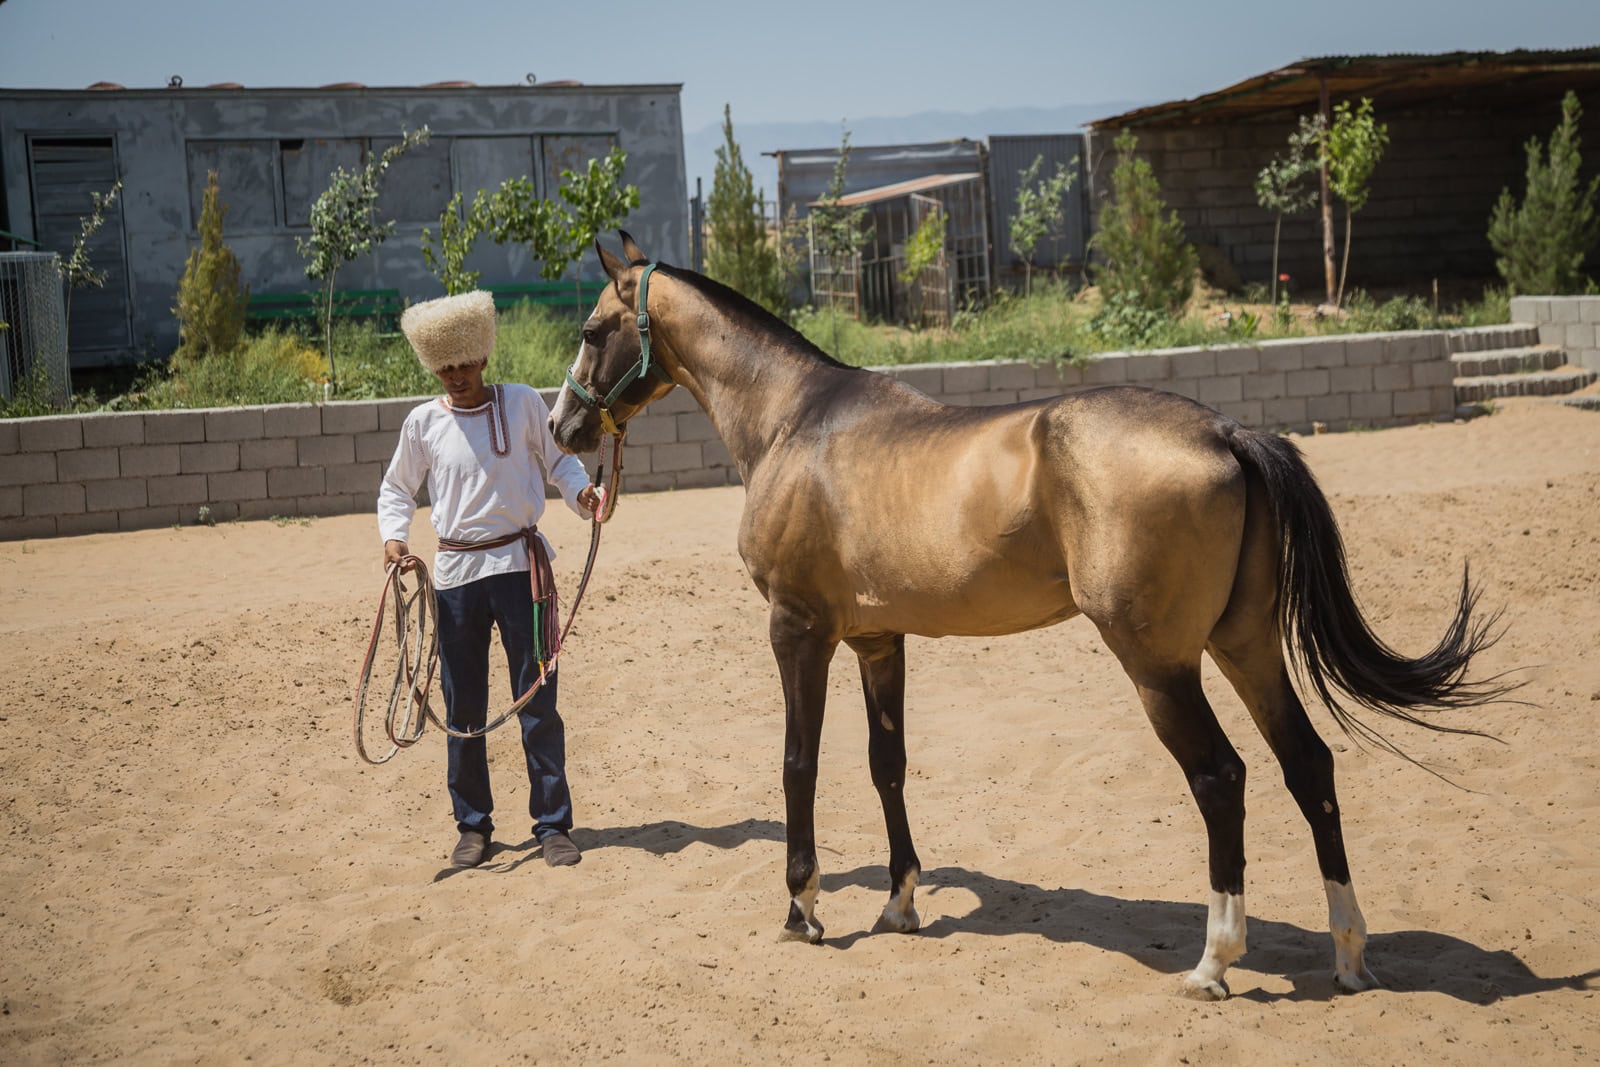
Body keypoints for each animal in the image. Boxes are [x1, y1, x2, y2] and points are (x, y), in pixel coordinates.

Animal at [548, 232, 1512, 1000]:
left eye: (593, 330)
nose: (562, 427)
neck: (797, 423)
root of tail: (1228, 434)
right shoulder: (877, 641)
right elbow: (887, 766)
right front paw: (899, 904)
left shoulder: (799, 631)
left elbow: (798, 765)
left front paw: (803, 908)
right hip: (1245, 647)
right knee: (1308, 765)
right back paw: (1348, 955)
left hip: (1159, 664)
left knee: (1222, 778)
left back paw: (1213, 963)